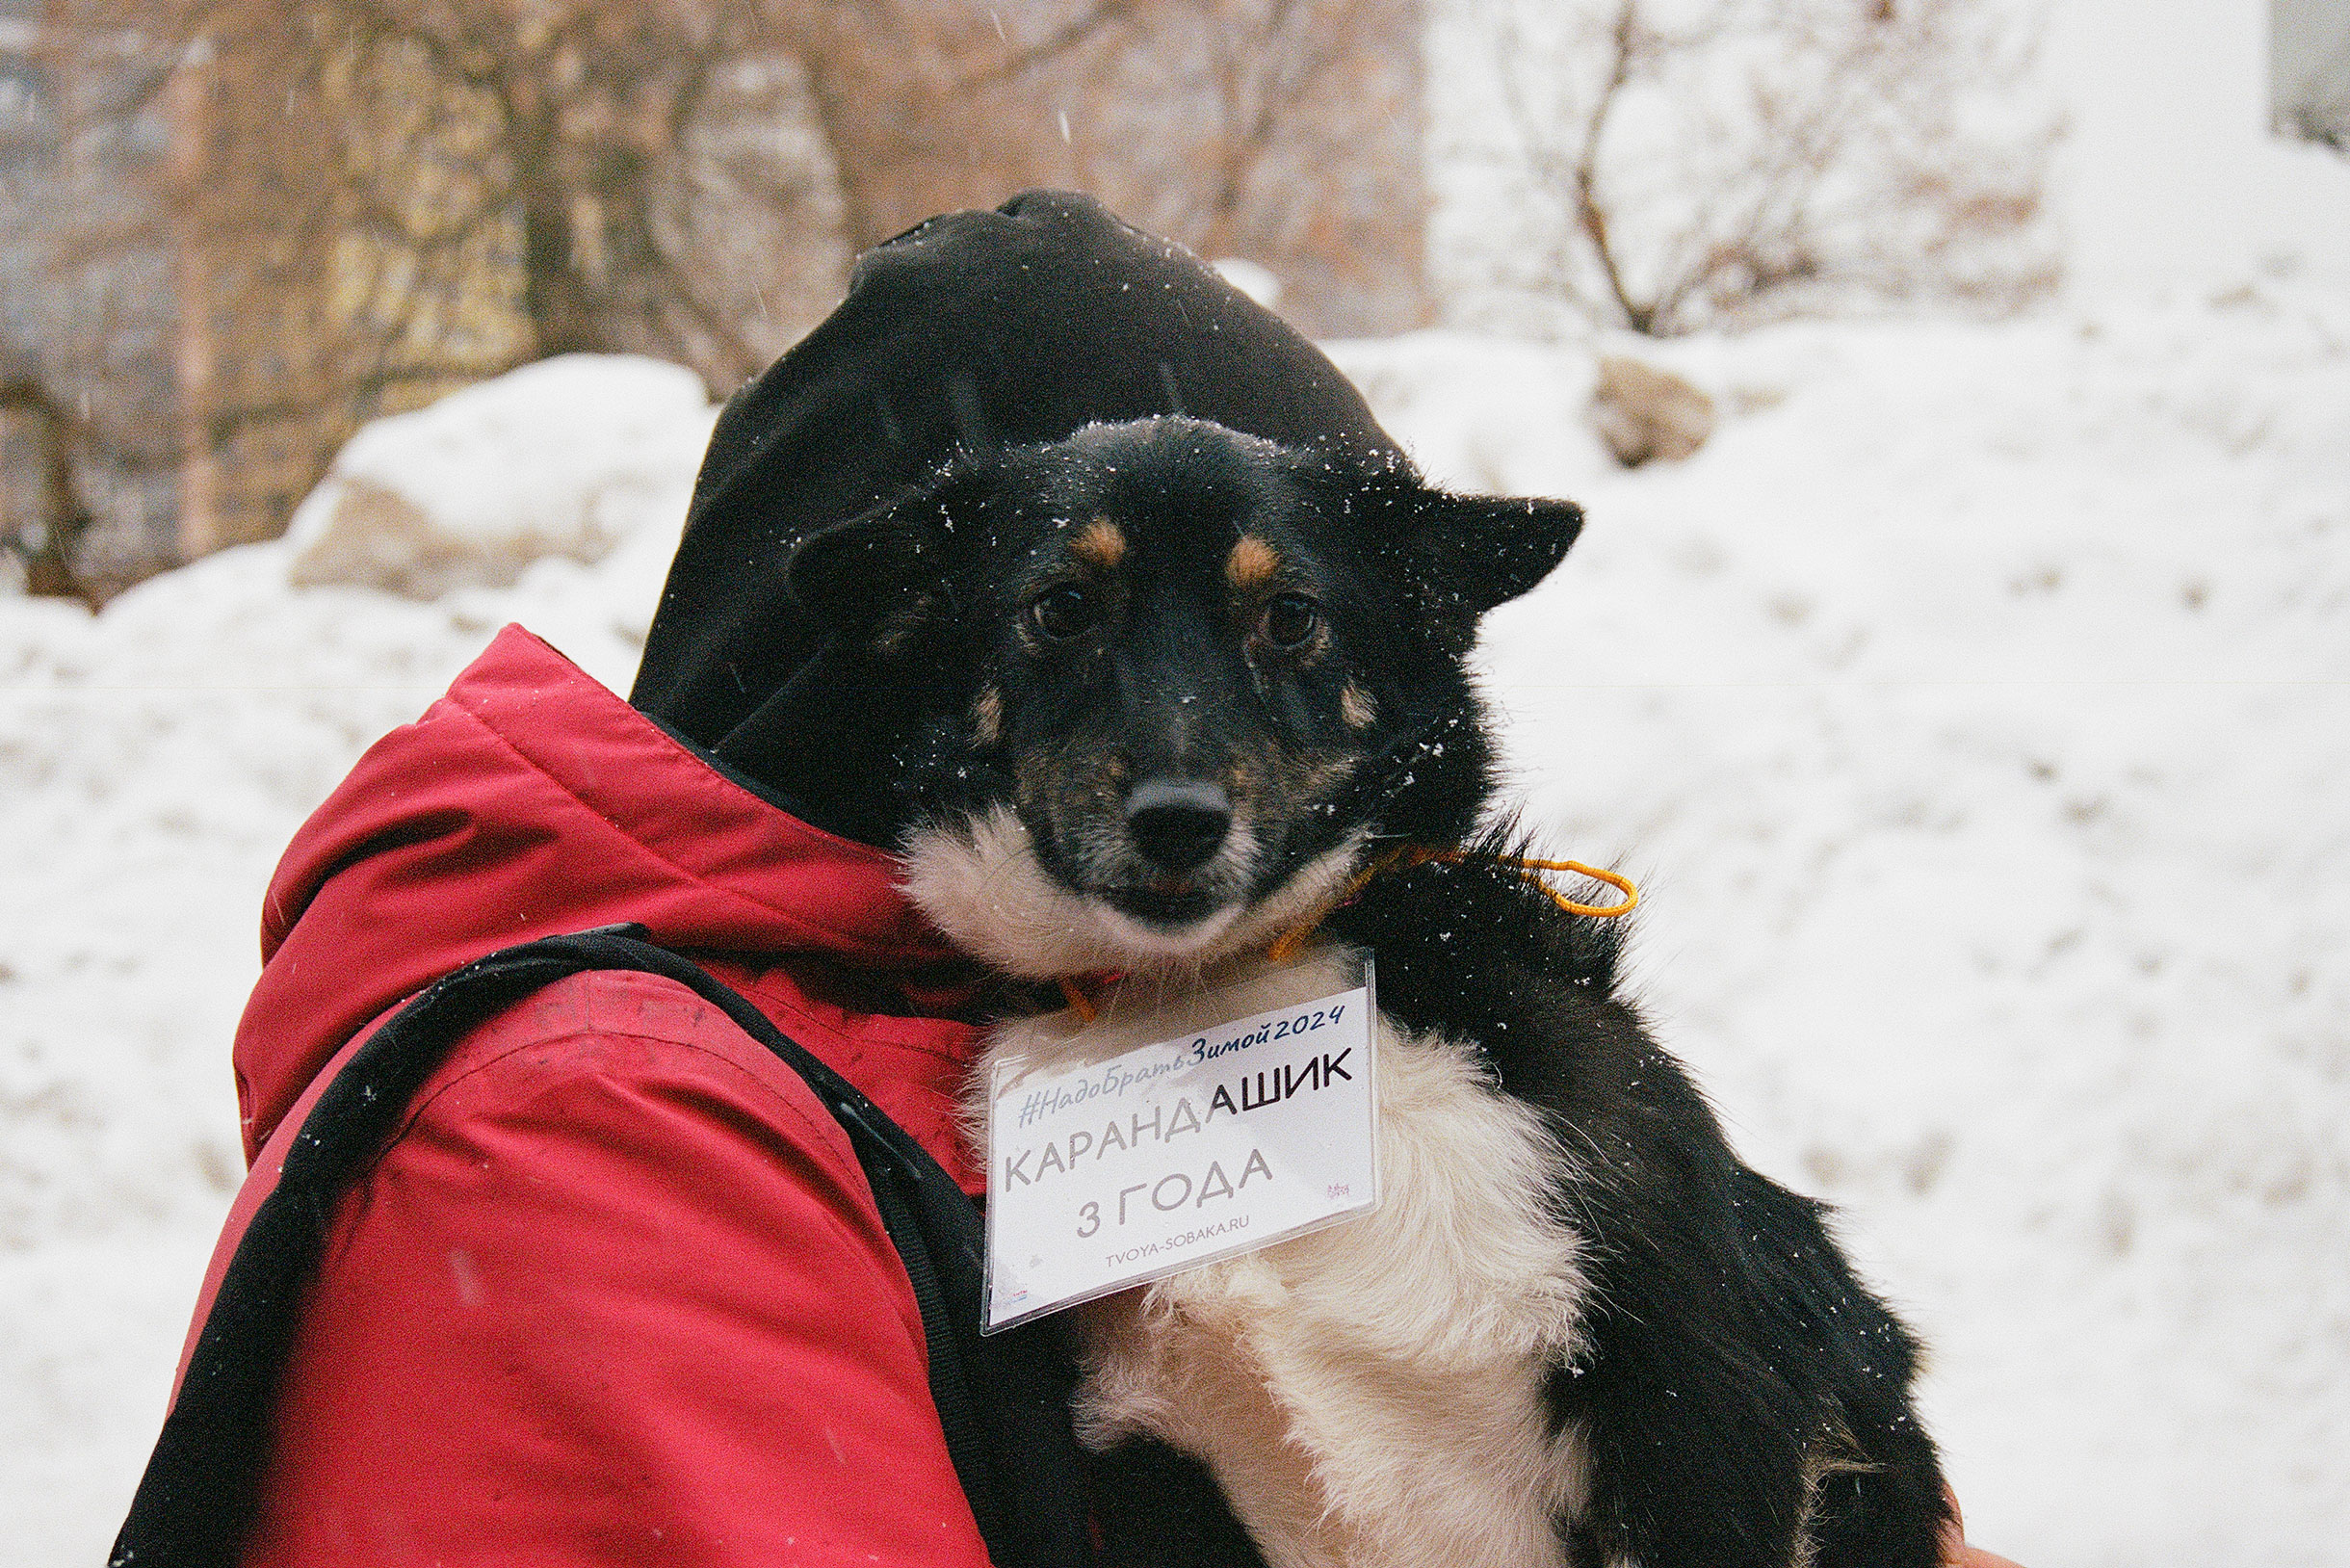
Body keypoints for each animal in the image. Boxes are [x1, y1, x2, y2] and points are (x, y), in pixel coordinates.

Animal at [770, 413, 1945, 1568]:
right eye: (1059, 607)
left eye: (1292, 616)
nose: (1178, 821)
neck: (1215, 994)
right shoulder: (1160, 1478)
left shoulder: (1705, 1407)